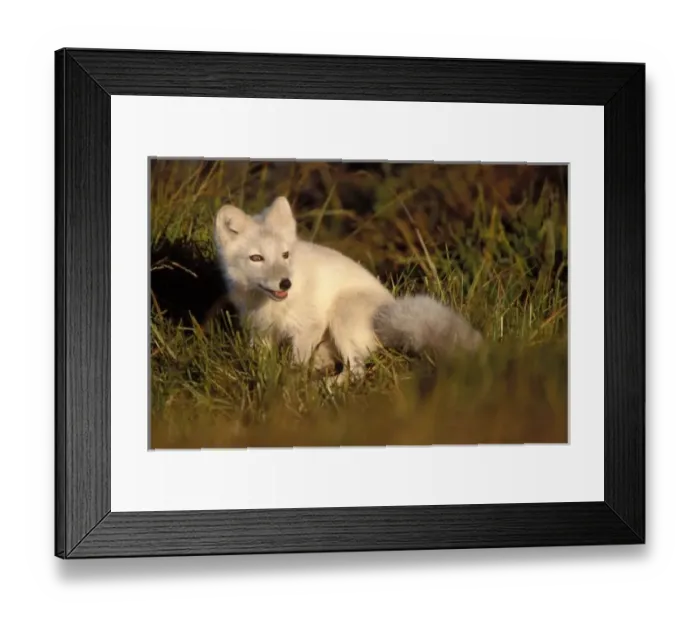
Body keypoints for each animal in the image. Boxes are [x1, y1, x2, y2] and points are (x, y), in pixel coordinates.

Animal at [214, 196, 483, 384]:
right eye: (256, 258)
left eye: (285, 255)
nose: (285, 283)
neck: (270, 305)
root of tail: (390, 311)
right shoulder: (260, 333)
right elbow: (260, 365)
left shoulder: (308, 327)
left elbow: (295, 366)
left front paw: (288, 389)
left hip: (341, 314)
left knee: (356, 371)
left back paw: (325, 387)